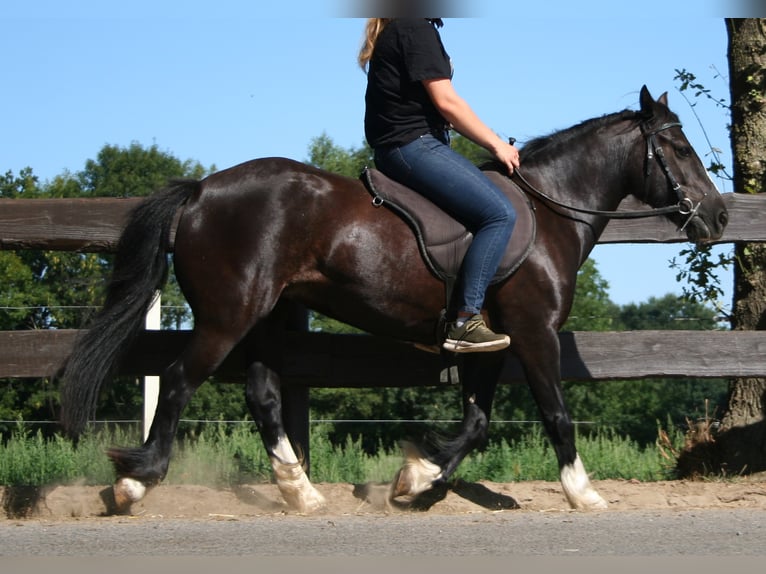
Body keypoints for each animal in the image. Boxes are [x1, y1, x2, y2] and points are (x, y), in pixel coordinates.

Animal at [57, 88, 728, 516]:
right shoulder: (534, 332)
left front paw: (416, 479)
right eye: (682, 150)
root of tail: (199, 192)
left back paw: (301, 493)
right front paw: (583, 493)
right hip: (228, 316)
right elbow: (556, 414)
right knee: (177, 381)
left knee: (263, 395)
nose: (719, 217)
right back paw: (135, 486)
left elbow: (476, 423)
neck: (548, 212)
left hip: (267, 319)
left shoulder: (490, 341)